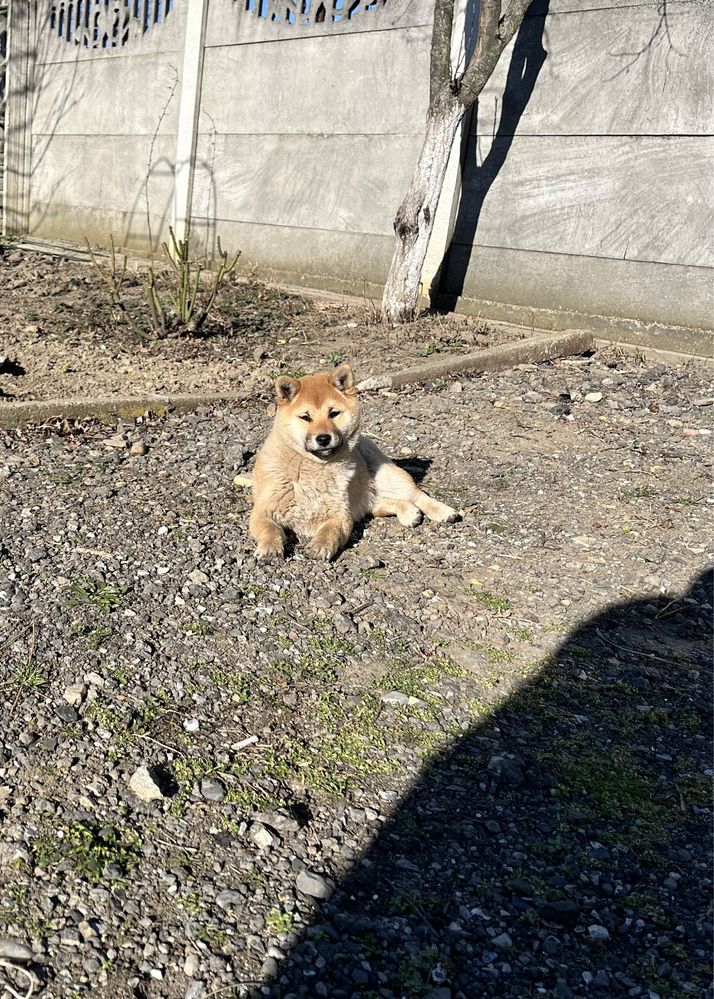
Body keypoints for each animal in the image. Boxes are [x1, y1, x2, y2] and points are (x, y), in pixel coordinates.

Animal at [248, 364, 454, 564]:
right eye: (306, 417)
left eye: (333, 414)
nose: (323, 438)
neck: (313, 468)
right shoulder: (264, 511)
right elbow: (270, 530)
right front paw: (270, 548)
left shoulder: (341, 515)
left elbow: (329, 531)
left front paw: (319, 546)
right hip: (369, 498)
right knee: (388, 502)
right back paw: (409, 512)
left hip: (387, 477)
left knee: (417, 494)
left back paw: (444, 512)